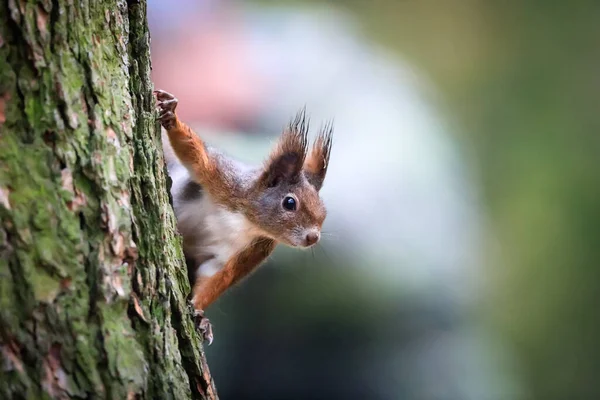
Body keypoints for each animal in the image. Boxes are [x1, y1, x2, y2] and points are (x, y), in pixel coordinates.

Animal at [155, 90, 330, 344]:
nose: (313, 238)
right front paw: (171, 115)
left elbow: (217, 274)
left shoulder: (253, 249)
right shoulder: (223, 179)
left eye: (324, 211)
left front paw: (200, 315)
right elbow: (196, 156)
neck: (246, 221)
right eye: (290, 203)